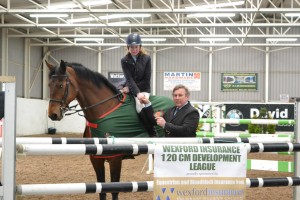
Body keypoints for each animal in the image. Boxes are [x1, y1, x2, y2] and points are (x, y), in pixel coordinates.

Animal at [46, 59, 173, 200]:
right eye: (49, 85)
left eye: (61, 85)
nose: (53, 115)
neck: (104, 109)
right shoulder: (96, 158)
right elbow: (101, 189)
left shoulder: (115, 159)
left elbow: (114, 190)